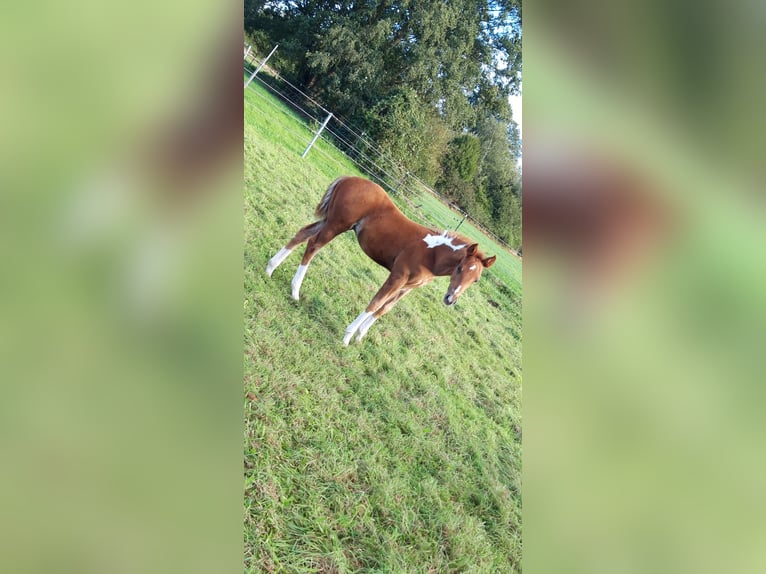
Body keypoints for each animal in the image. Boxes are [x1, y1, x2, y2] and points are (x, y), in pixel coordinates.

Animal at [268, 176, 498, 346]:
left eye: (476, 280)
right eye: (459, 268)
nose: (450, 299)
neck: (432, 253)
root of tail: (349, 178)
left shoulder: (407, 288)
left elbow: (384, 309)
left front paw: (360, 337)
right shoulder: (397, 276)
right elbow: (375, 303)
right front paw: (347, 337)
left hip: (329, 221)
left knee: (302, 234)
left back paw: (270, 269)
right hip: (337, 224)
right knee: (312, 245)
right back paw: (295, 290)